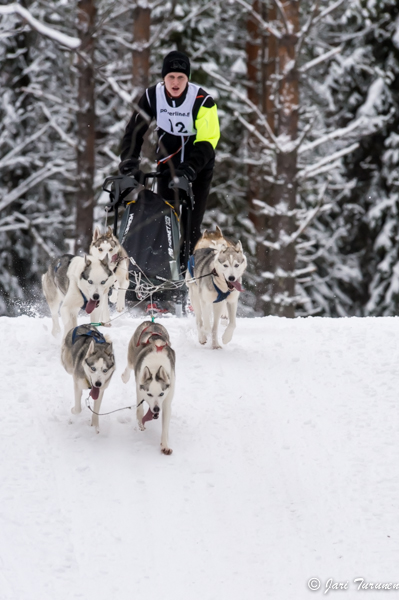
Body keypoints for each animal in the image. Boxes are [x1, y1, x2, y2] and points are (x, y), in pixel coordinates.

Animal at [122, 322, 175, 452]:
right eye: (149, 394)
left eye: (161, 394)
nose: (156, 409)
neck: (155, 367)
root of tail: (152, 322)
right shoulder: (139, 388)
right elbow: (139, 409)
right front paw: (140, 423)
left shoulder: (166, 400)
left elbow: (165, 423)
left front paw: (165, 445)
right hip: (132, 356)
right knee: (129, 366)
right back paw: (124, 377)